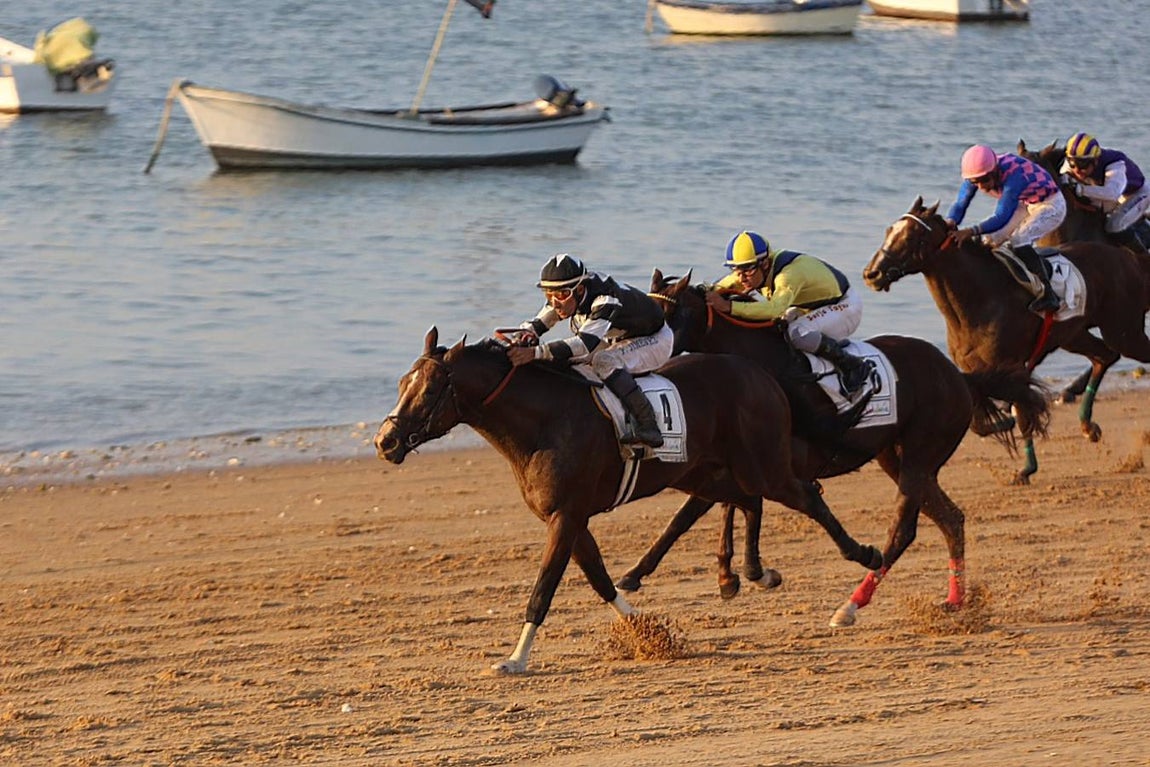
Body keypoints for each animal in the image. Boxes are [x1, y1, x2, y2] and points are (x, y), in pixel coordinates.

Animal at [374, 327, 882, 673]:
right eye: (401, 384)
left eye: (429, 390)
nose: (385, 441)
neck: (543, 421)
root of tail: (760, 373)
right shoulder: (570, 518)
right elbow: (600, 580)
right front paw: (650, 632)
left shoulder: (566, 516)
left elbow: (543, 590)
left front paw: (514, 660)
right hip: (705, 472)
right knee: (745, 499)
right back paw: (749, 572)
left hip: (763, 463)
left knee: (806, 497)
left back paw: (865, 555)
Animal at [618, 271, 1045, 627]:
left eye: (667, 314)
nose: (631, 353)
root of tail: (960, 377)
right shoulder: (737, 461)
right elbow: (692, 516)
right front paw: (646, 574)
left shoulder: (771, 464)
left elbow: (725, 508)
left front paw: (741, 573)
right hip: (896, 457)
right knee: (950, 519)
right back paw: (954, 600)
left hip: (919, 458)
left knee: (903, 530)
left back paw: (852, 604)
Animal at [864, 197, 1150, 483]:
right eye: (889, 231)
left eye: (911, 236)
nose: (871, 274)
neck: (981, 297)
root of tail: (1128, 258)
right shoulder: (975, 369)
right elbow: (983, 420)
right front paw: (1002, 423)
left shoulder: (1012, 365)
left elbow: (1022, 414)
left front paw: (1026, 468)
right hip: (1075, 334)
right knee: (1103, 356)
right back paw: (1087, 426)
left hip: (1124, 331)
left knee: (1116, 352)